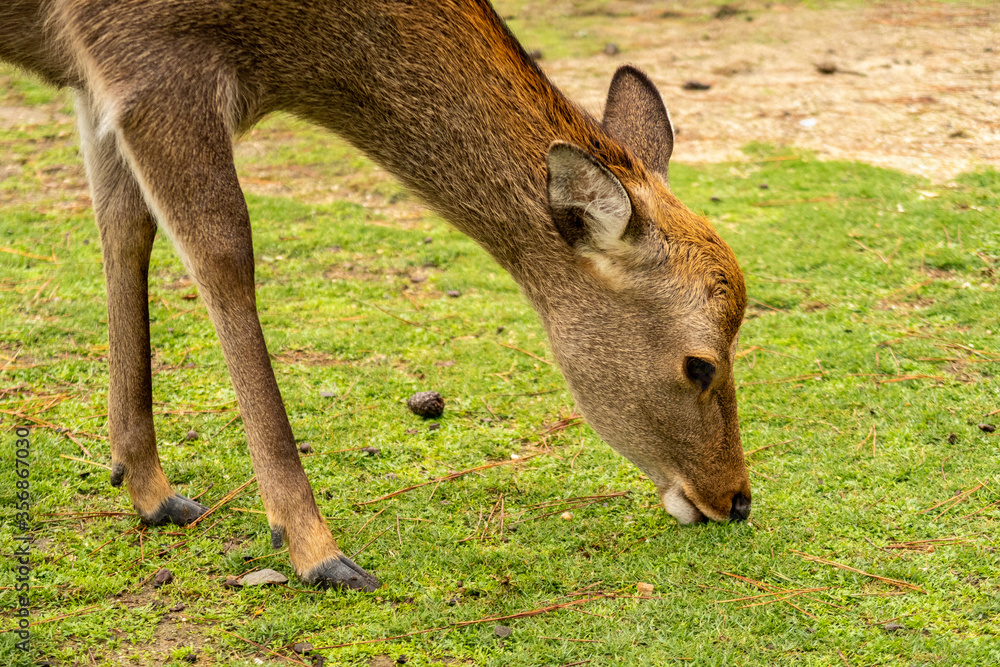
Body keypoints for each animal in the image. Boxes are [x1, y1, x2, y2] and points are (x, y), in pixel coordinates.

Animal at [0, 0, 752, 592]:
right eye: (700, 364)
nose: (737, 499)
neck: (290, 52)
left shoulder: (96, 85)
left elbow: (123, 228)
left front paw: (149, 490)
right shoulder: (152, 63)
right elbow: (224, 256)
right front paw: (317, 550)